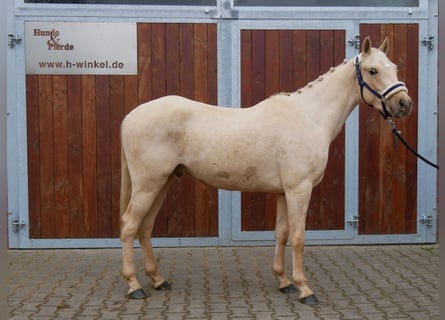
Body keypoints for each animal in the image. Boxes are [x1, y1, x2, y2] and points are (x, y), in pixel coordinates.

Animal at [119, 36, 412, 304]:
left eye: (395, 67)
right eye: (373, 71)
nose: (404, 104)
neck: (309, 117)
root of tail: (130, 116)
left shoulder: (284, 192)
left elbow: (281, 234)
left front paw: (284, 282)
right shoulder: (299, 190)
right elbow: (298, 237)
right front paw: (305, 289)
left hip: (164, 181)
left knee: (145, 227)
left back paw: (158, 280)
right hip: (148, 184)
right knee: (130, 225)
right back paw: (134, 286)